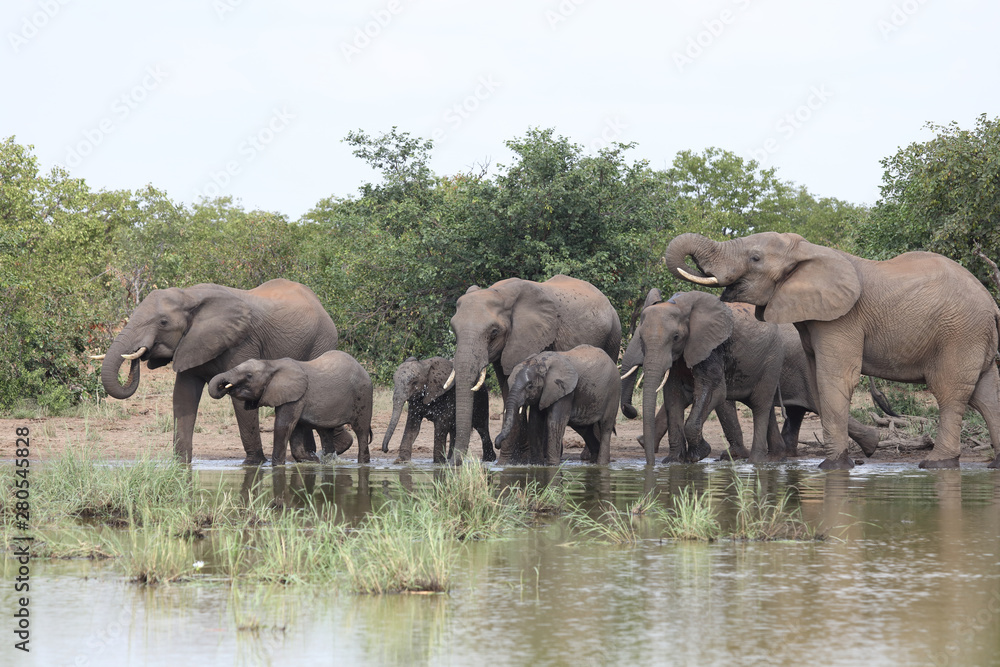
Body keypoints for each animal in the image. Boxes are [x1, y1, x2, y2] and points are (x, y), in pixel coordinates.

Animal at [97, 279, 346, 464]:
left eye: (163, 322)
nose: (139, 354)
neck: (190, 297)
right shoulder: (191, 344)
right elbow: (183, 398)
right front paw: (180, 464)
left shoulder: (242, 342)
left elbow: (240, 399)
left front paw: (253, 464)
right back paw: (316, 454)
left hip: (322, 341)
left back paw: (336, 449)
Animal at [208, 351, 373, 465]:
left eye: (249, 375)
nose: (223, 385)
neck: (271, 364)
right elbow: (295, 428)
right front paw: (312, 461)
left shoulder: (296, 396)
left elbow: (283, 425)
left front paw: (277, 465)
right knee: (325, 432)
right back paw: (328, 462)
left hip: (363, 395)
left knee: (361, 431)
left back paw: (363, 463)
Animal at [449, 275, 622, 465]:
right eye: (454, 330)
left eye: (494, 332)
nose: (452, 463)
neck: (501, 293)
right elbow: (507, 390)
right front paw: (513, 462)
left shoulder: (534, 338)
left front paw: (515, 461)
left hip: (613, 337)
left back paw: (587, 457)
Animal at [620, 289, 784, 465]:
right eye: (641, 338)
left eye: (676, 337)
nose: (650, 464)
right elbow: (673, 395)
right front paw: (673, 462)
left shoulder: (711, 347)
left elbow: (716, 391)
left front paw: (699, 454)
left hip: (772, 360)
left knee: (760, 405)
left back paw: (755, 461)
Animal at [665, 231, 1000, 469]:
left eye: (755, 258)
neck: (808, 251)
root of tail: (991, 303)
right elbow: (817, 380)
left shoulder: (842, 319)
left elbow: (834, 378)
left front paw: (833, 467)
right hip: (974, 335)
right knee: (986, 395)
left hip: (960, 333)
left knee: (951, 392)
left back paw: (936, 464)